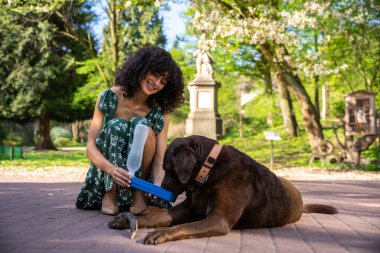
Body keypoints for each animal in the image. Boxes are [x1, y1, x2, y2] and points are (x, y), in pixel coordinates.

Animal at [108, 135, 336, 244]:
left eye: (167, 169)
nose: (161, 188)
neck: (209, 170)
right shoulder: (186, 209)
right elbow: (157, 216)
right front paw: (127, 221)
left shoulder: (219, 219)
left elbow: (183, 227)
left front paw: (159, 234)